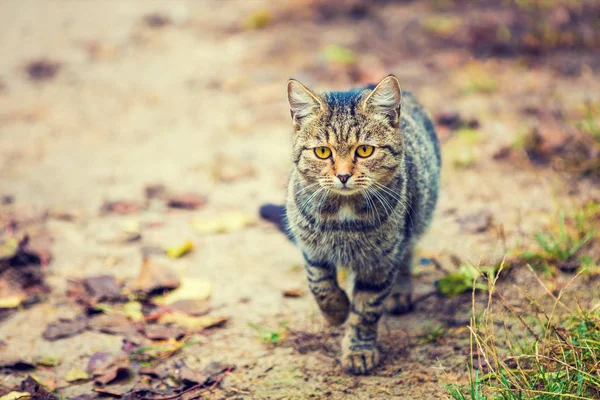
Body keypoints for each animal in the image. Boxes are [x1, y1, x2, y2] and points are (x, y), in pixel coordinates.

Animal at [260, 75, 438, 376]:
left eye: (364, 150)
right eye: (322, 152)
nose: (343, 175)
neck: (344, 216)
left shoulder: (380, 261)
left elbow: (366, 310)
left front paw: (359, 350)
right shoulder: (312, 250)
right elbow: (320, 285)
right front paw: (336, 312)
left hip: (414, 221)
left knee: (406, 253)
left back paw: (399, 292)